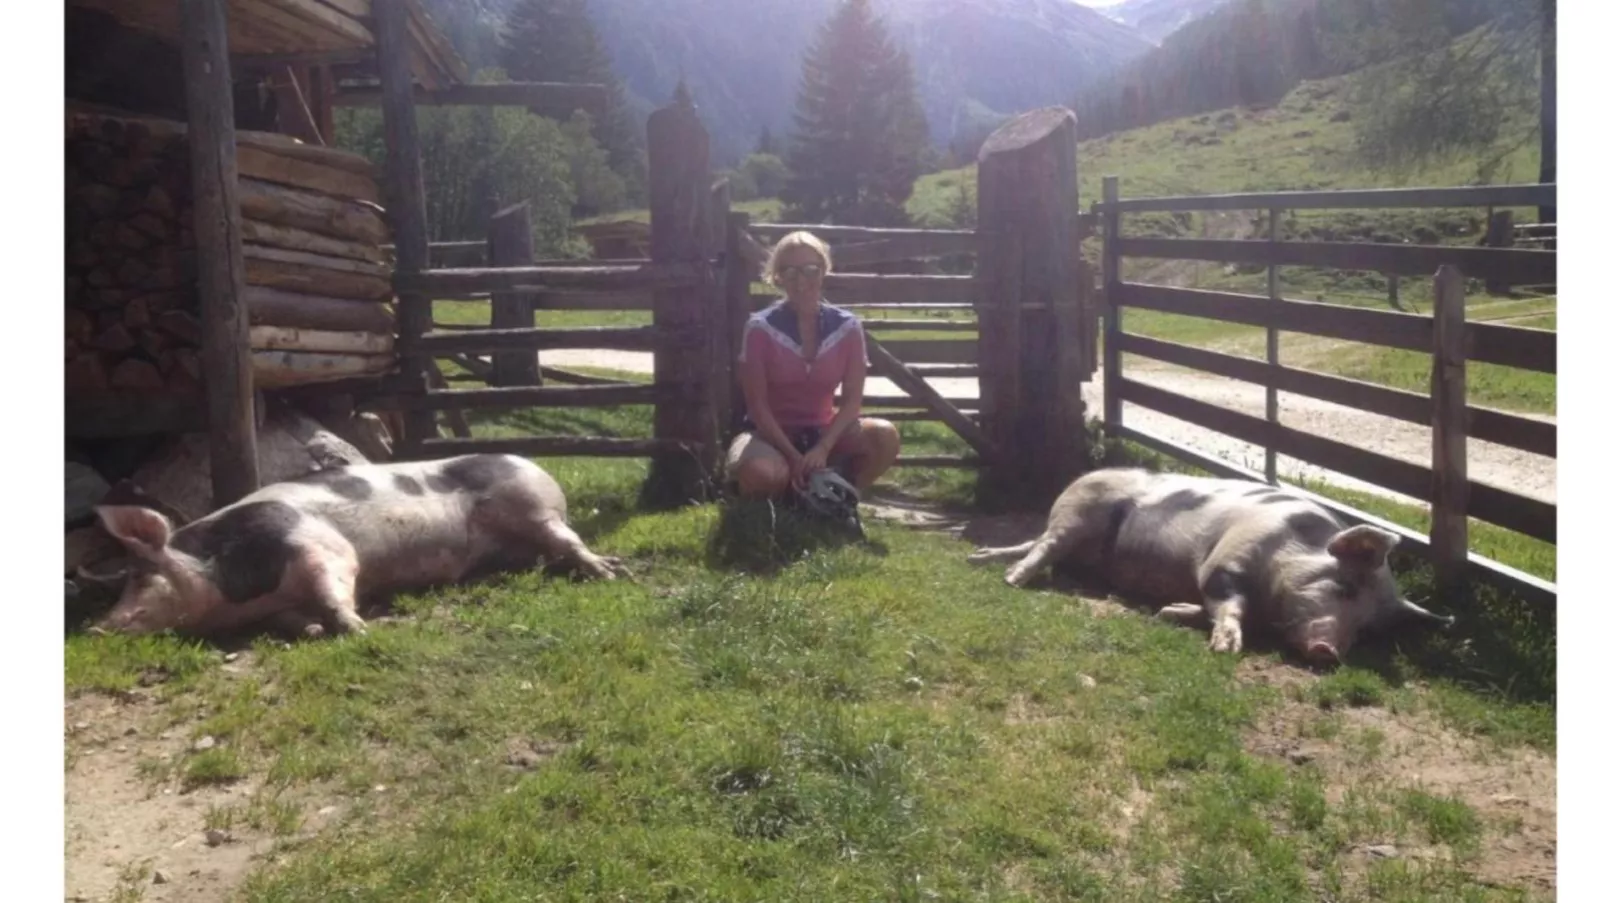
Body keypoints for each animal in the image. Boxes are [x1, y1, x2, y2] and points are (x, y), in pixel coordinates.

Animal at [86, 453, 626, 636]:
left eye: (139, 575)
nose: (96, 627)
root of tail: (534, 464)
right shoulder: (275, 603)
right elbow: (294, 619)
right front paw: (312, 631)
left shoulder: (320, 547)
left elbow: (334, 588)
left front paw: (358, 629)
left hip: (535, 508)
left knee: (570, 542)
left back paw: (611, 571)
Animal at [963, 465, 1458, 665]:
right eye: (1345, 587)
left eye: (1367, 629)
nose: (1329, 652)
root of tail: (1084, 476)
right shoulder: (1226, 562)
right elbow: (1226, 605)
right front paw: (1225, 648)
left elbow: (1207, 609)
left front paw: (1169, 613)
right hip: (1075, 515)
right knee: (1042, 546)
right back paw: (1012, 580)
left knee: (1030, 544)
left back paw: (980, 559)